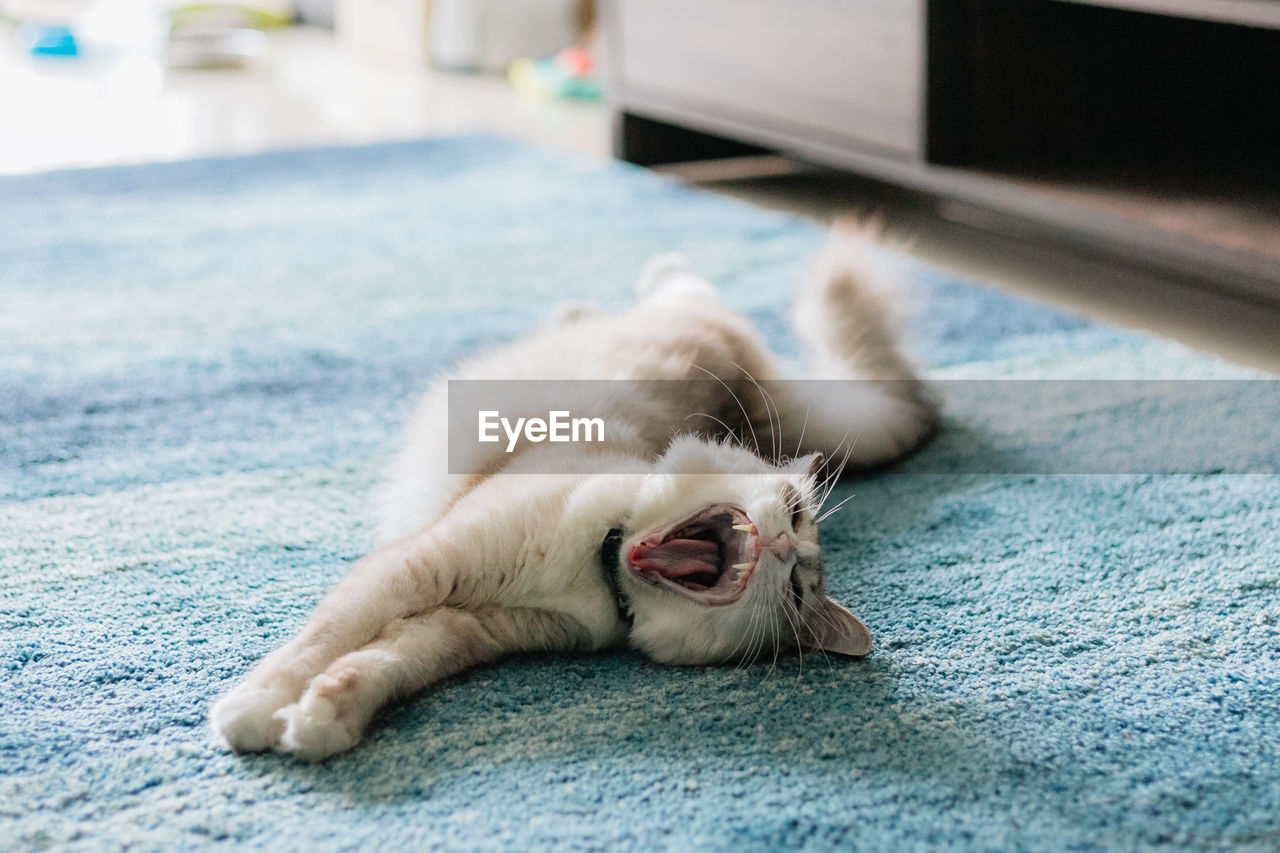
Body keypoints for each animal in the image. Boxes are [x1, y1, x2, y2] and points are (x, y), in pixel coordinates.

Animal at [207, 222, 931, 758]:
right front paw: (251, 712)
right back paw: (621, 284)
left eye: (798, 590)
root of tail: (760, 395)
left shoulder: (462, 625)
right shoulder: (417, 568)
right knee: (679, 285)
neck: (597, 565)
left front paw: (318, 723)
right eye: (795, 511)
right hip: (689, 322)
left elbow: (375, 665)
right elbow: (315, 645)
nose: (785, 546)